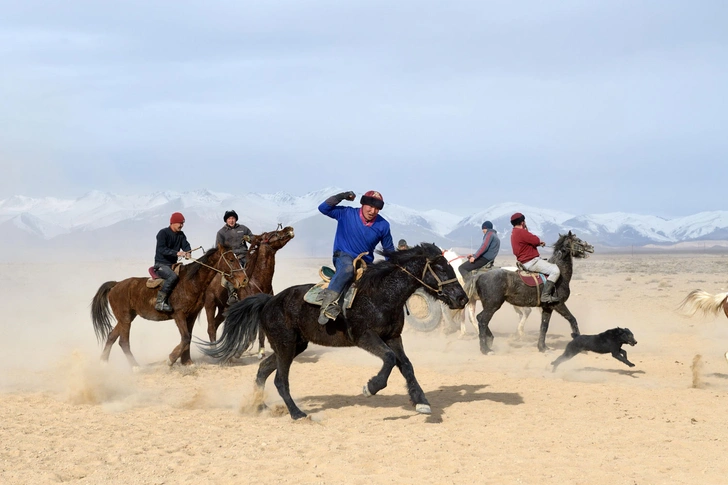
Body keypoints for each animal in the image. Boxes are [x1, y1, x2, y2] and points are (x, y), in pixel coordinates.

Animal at [90, 244, 245, 368]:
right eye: (231, 259)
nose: (243, 279)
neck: (191, 282)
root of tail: (116, 285)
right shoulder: (179, 315)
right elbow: (185, 337)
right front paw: (171, 359)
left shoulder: (191, 316)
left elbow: (188, 337)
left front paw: (187, 361)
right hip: (126, 318)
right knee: (123, 341)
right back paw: (135, 366)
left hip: (125, 318)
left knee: (111, 336)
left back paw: (103, 363)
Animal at [199, 244, 470, 418]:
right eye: (442, 269)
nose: (462, 298)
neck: (381, 294)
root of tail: (268, 301)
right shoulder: (365, 337)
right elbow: (390, 360)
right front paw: (371, 387)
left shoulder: (393, 337)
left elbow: (406, 365)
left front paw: (421, 402)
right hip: (285, 346)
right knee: (279, 380)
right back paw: (297, 413)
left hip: (294, 345)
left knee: (263, 369)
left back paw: (259, 406)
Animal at [202, 224, 296, 356]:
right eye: (269, 234)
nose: (289, 228)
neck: (257, 281)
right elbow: (250, 334)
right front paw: (239, 352)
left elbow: (261, 332)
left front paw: (261, 351)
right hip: (210, 304)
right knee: (210, 328)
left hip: (223, 309)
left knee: (214, 326)